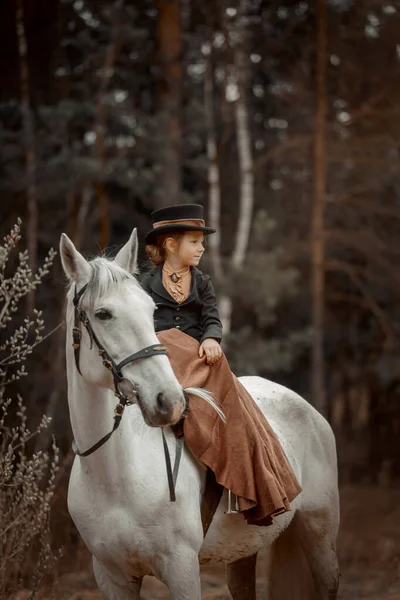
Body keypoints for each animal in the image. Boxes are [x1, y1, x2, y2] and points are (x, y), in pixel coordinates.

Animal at [60, 231, 340, 600]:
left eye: (149, 310)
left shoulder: (182, 570)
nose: (169, 401)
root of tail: (310, 411)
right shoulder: (112, 577)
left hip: (320, 534)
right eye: (103, 314)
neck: (115, 477)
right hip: (244, 549)